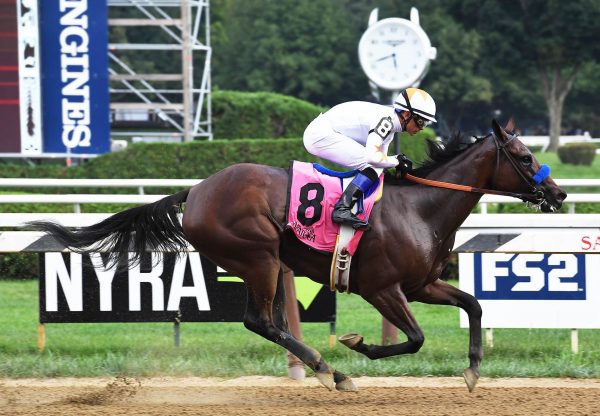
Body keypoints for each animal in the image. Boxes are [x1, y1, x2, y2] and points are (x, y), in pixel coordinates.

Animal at [31, 119, 568, 390]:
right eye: (525, 157)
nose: (559, 194)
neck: (421, 206)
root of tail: (196, 190)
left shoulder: (421, 284)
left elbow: (473, 305)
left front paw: (474, 370)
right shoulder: (381, 288)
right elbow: (413, 339)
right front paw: (356, 344)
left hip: (261, 263)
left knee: (270, 322)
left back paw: (324, 368)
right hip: (259, 256)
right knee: (262, 321)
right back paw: (332, 371)